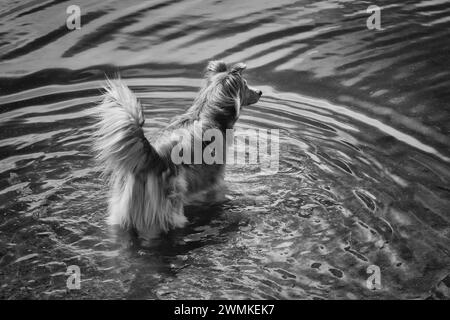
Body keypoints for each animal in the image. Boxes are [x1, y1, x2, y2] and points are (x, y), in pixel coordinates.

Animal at [93, 60, 262, 238]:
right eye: (245, 84)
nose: (260, 92)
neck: (208, 112)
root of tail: (151, 159)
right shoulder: (214, 180)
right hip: (168, 215)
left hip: (122, 217)